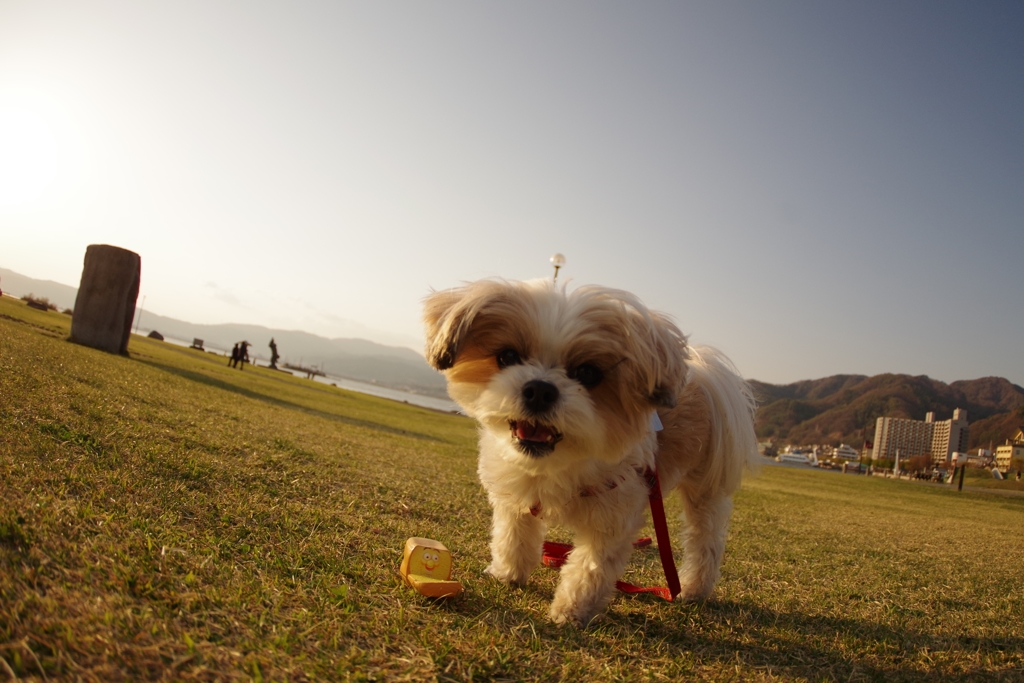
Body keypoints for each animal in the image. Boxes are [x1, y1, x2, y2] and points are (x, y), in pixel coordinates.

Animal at [423, 280, 761, 626]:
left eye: (588, 373)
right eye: (507, 356)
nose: (540, 389)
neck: (559, 463)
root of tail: (705, 374)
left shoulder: (613, 518)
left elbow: (590, 569)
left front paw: (571, 612)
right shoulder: (514, 495)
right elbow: (513, 536)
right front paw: (508, 574)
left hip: (705, 488)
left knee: (705, 540)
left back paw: (694, 588)